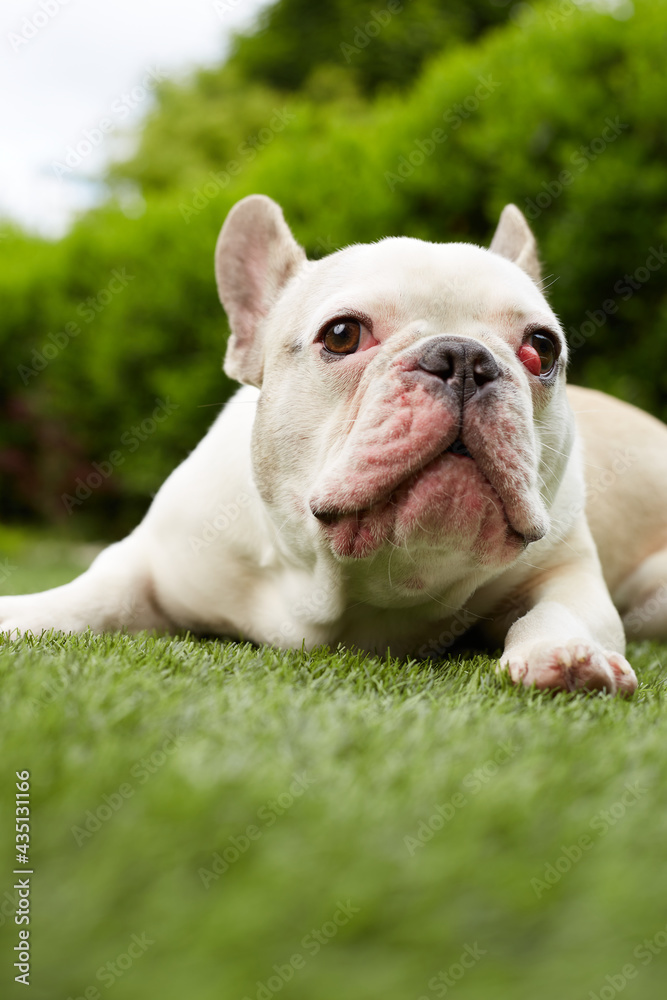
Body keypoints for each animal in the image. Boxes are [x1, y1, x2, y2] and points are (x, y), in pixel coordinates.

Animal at [1, 196, 667, 696]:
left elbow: (567, 606)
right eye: (343, 335)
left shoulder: (567, 565)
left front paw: (570, 653)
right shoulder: (153, 558)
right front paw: (21, 612)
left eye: (542, 348)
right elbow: (91, 593)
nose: (464, 358)